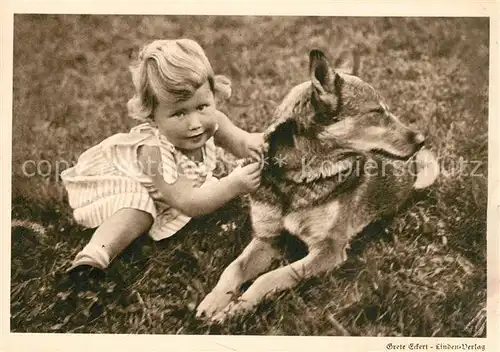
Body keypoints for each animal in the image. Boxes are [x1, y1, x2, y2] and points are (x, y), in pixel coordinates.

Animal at [195, 48, 438, 322]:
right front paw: (215, 301)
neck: (294, 179)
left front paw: (237, 308)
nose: (421, 139)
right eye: (376, 112)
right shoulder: (268, 239)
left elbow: (270, 277)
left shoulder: (328, 250)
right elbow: (233, 268)